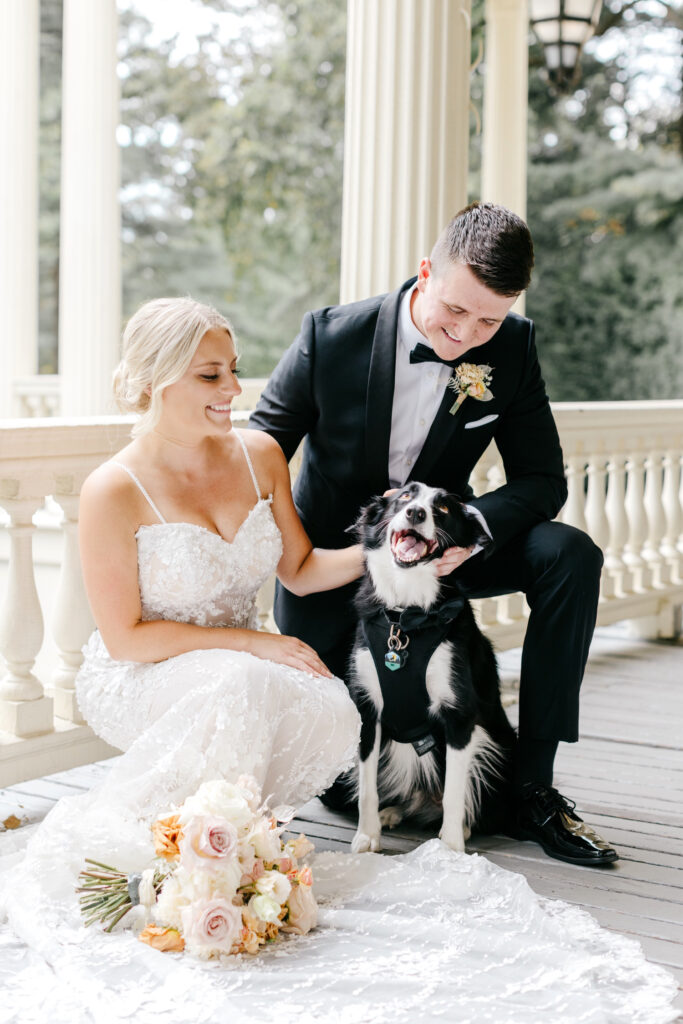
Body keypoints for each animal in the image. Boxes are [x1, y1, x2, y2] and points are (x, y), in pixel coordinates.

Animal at [350, 483, 516, 851]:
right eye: (404, 498)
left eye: (442, 509)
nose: (416, 513)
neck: (405, 616)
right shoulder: (368, 708)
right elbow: (367, 785)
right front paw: (367, 834)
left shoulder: (459, 714)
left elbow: (454, 791)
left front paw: (451, 848)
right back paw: (393, 812)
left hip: (497, 748)